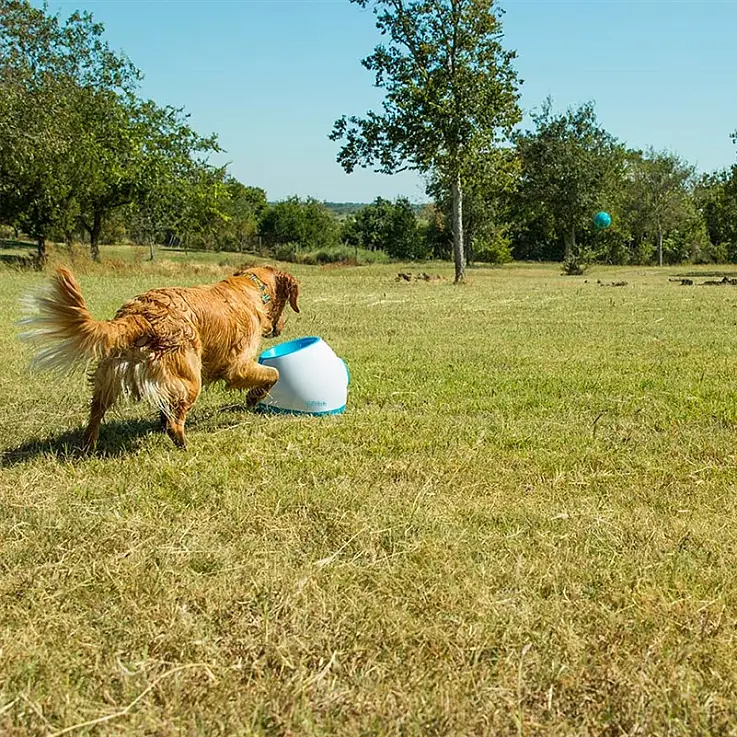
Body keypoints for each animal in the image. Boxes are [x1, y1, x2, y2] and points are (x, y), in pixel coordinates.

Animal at [21, 264, 300, 448]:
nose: (280, 328)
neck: (252, 286)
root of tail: (138, 313)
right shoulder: (238, 366)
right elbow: (273, 374)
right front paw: (253, 397)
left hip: (110, 375)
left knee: (97, 412)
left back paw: (88, 445)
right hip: (191, 379)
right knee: (175, 424)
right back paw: (184, 446)